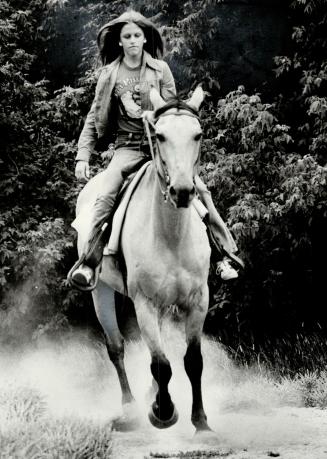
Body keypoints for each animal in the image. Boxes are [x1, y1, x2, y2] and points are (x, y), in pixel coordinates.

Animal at [75, 87, 213, 434]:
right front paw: (163, 413)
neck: (171, 234)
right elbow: (161, 364)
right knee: (116, 348)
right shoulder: (145, 303)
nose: (182, 191)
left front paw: (200, 421)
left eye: (198, 134)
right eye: (160, 135)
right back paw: (131, 409)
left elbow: (193, 361)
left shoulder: (198, 300)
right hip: (101, 292)